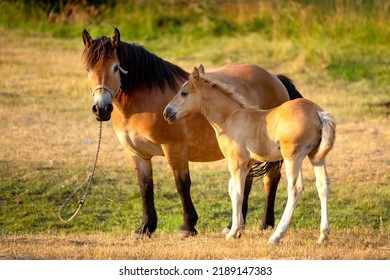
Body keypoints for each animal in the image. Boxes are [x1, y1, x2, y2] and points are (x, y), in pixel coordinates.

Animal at [80, 27, 304, 237]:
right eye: (87, 69)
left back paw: (266, 223)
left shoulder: (175, 149)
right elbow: (145, 187)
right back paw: (234, 224)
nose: (101, 108)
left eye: (116, 67)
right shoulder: (136, 154)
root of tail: (275, 77)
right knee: (246, 181)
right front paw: (146, 227)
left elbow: (182, 184)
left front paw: (188, 225)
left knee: (271, 179)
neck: (143, 101)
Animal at [165, 66, 336, 243]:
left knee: (295, 188)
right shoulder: (247, 164)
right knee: (323, 185)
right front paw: (237, 229)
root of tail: (318, 113)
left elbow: (238, 193)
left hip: (292, 157)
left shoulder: (236, 162)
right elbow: (233, 189)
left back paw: (276, 236)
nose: (167, 113)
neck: (230, 117)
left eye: (184, 93)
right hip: (316, 156)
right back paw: (323, 235)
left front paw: (233, 232)